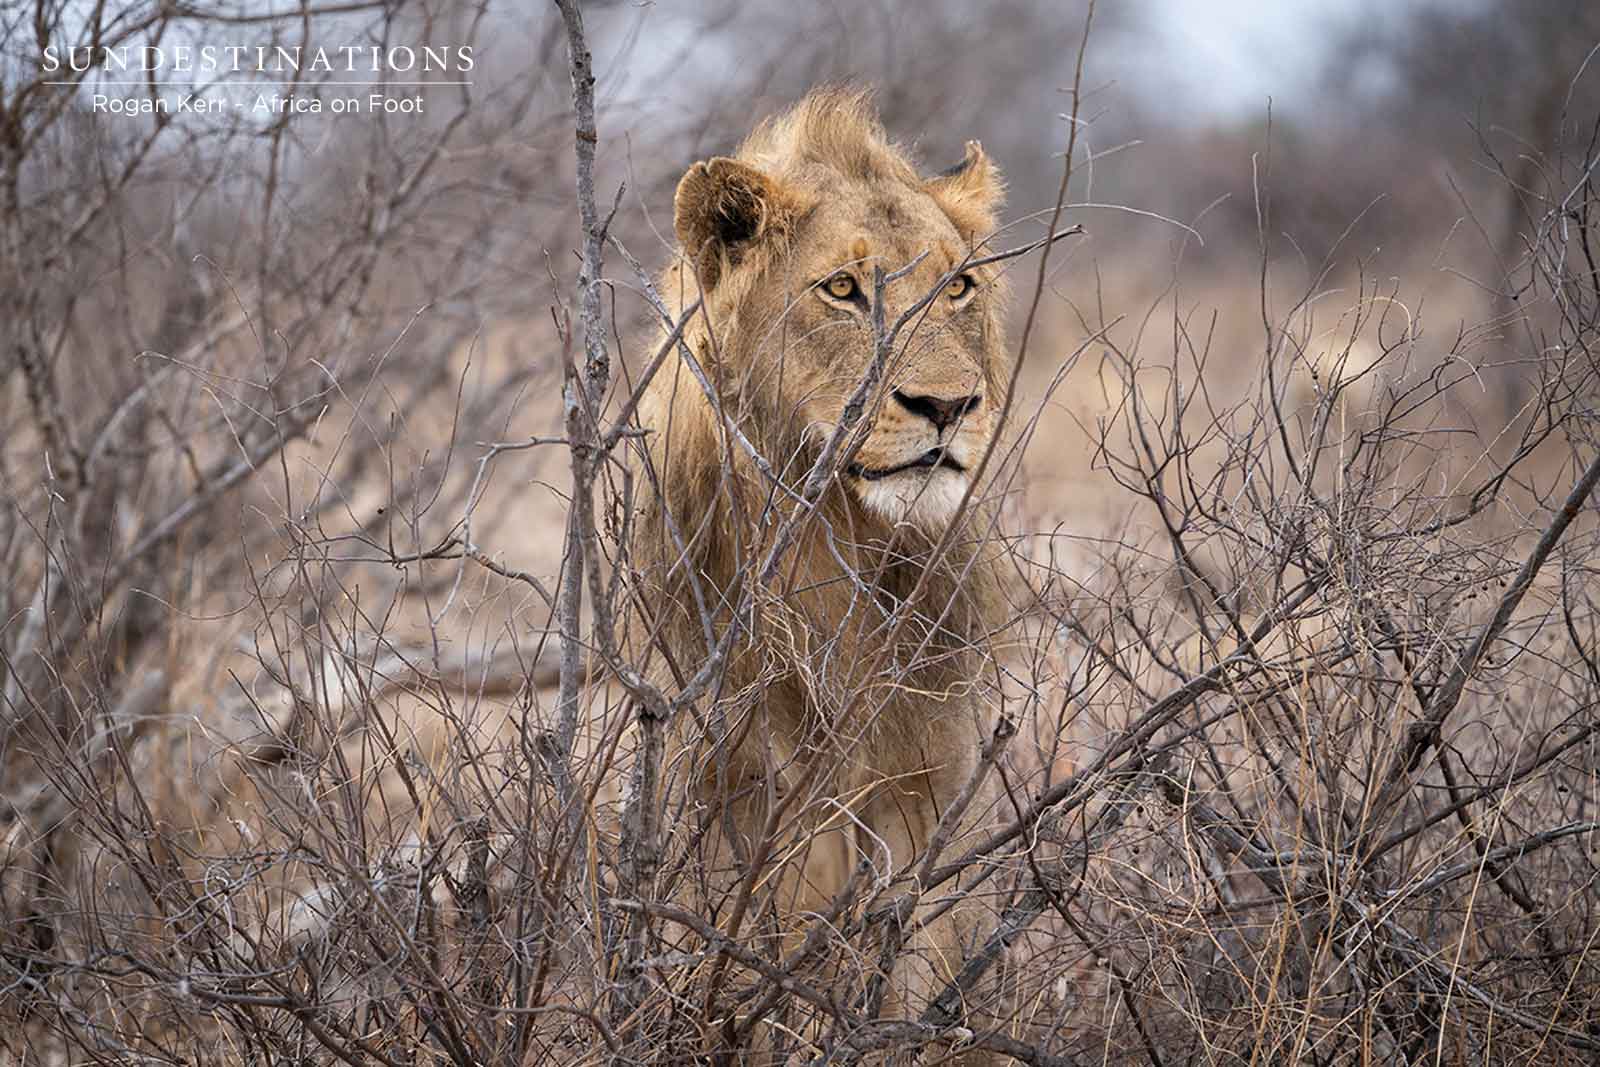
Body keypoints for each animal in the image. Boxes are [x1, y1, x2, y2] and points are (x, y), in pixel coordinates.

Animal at [629, 87, 1011, 1063]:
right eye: (843, 290)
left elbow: (911, 963)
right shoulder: (739, 787)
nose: (949, 405)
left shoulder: (928, 786)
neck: (835, 545)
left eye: (959, 286)